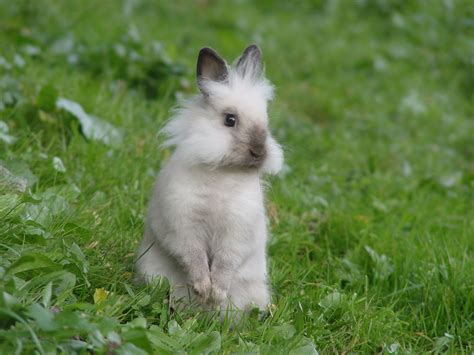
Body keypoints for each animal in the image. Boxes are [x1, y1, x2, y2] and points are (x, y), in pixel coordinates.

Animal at [137, 44, 284, 314]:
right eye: (230, 120)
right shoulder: (183, 225)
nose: (260, 152)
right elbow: (194, 257)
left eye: (265, 121)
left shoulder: (236, 233)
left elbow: (226, 264)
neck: (223, 172)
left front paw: (216, 295)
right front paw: (204, 289)